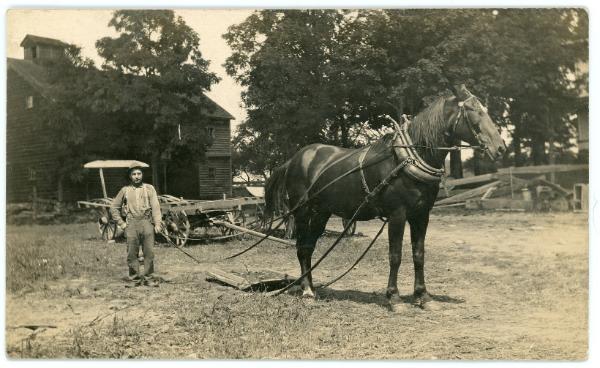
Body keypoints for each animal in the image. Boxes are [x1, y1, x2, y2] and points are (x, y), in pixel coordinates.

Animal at [264, 85, 504, 310]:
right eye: (473, 111)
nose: (500, 148)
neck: (408, 157)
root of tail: (295, 159)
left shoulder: (421, 215)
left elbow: (419, 254)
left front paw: (423, 297)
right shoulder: (397, 214)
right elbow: (395, 255)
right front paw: (394, 298)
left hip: (321, 213)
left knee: (309, 247)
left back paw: (312, 289)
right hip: (303, 212)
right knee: (301, 248)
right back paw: (307, 291)